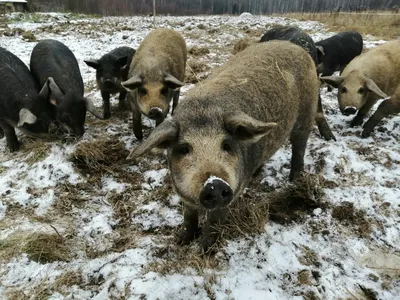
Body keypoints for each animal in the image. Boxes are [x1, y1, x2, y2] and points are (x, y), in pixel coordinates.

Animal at [126, 41, 320, 252]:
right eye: (184, 148)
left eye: (226, 145)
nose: (215, 183)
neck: (202, 110)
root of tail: (295, 47)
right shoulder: (183, 193)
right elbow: (188, 217)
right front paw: (182, 241)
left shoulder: (233, 192)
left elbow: (213, 224)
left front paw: (204, 251)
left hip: (306, 115)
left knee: (299, 149)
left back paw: (293, 181)